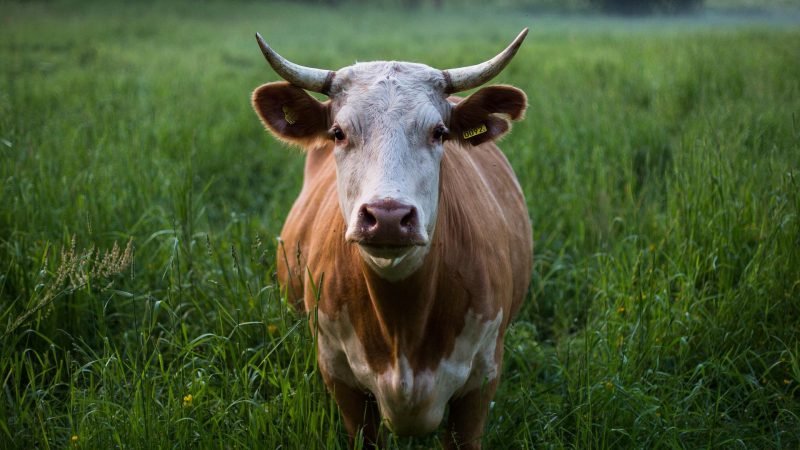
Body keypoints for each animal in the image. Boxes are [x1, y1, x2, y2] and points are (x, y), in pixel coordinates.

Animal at [253, 29, 536, 448]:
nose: (387, 217)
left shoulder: (481, 382)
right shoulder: (340, 378)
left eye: (439, 132)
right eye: (338, 133)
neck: (403, 327)